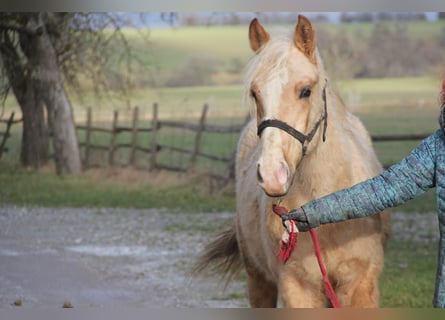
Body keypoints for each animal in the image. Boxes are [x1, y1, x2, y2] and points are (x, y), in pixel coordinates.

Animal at [194, 14, 388, 308]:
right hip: (258, 279)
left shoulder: (360, 286)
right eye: (255, 93)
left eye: (306, 91)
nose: (273, 175)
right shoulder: (297, 287)